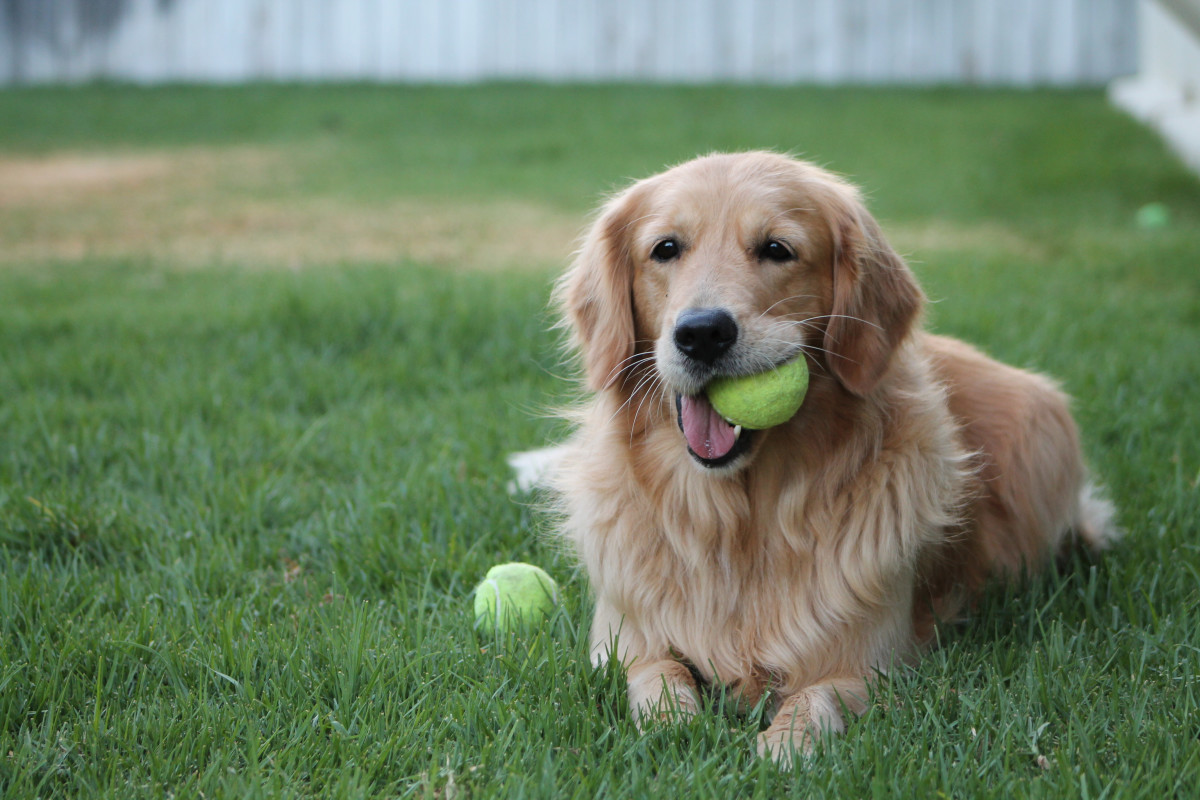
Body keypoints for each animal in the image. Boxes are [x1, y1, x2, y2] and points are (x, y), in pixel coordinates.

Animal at [549, 153, 1118, 767]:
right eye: (666, 249)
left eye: (777, 249)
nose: (702, 333)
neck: (741, 523)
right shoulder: (622, 637)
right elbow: (657, 679)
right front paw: (676, 730)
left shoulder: (870, 663)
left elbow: (814, 700)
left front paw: (780, 748)